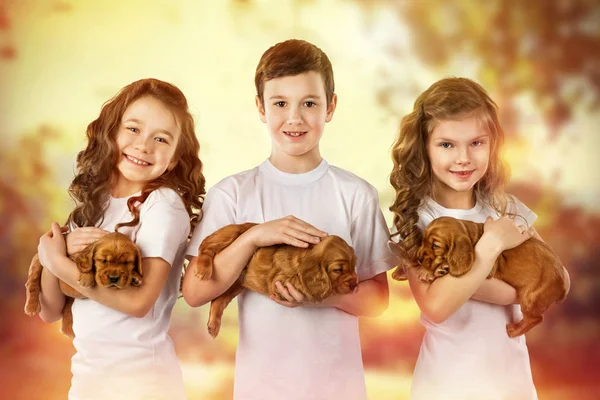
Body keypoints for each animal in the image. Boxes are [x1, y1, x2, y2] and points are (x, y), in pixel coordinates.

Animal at [192, 223, 358, 336]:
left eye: (354, 266)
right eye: (337, 270)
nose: (355, 285)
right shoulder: (279, 281)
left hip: (236, 283)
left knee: (219, 300)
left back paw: (213, 325)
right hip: (230, 235)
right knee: (205, 247)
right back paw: (203, 269)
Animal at [414, 216, 568, 338]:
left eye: (435, 245)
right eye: (423, 241)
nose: (418, 258)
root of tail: (565, 284)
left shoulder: (489, 270)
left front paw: (434, 269)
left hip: (531, 297)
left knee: (536, 318)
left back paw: (513, 330)